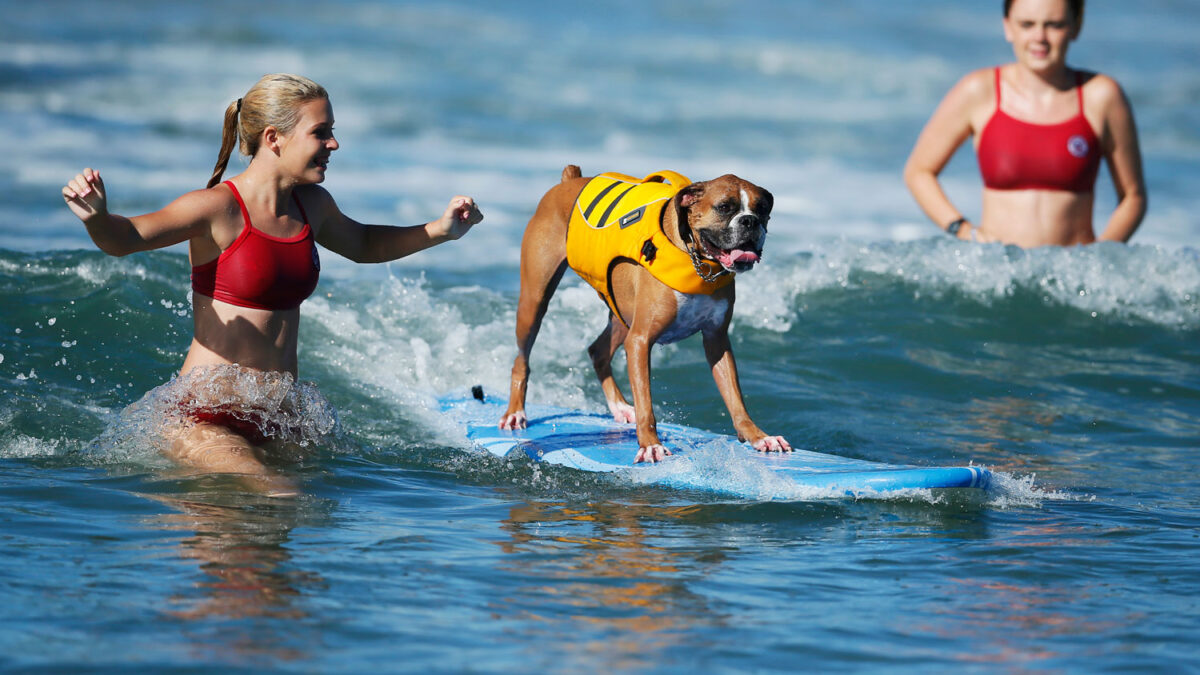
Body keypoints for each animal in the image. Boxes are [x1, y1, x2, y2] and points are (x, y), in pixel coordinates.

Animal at [496, 164, 787, 458]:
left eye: (762, 208)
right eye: (725, 207)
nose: (750, 221)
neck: (695, 259)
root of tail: (568, 181)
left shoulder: (717, 341)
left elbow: (735, 399)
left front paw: (758, 436)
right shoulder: (639, 341)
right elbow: (646, 402)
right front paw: (650, 445)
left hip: (620, 313)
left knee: (598, 351)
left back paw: (620, 407)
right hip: (535, 302)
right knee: (521, 360)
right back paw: (515, 412)